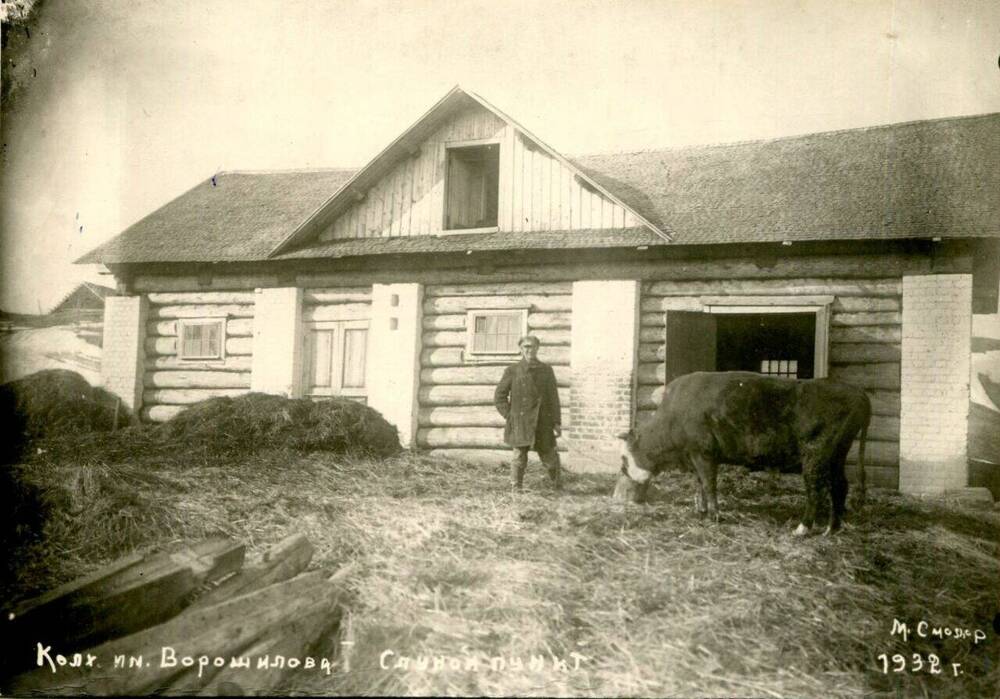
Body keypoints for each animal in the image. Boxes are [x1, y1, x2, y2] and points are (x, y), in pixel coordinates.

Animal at [604, 372, 872, 536]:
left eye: (623, 461)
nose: (616, 496)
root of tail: (858, 392)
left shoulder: (704, 452)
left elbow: (709, 484)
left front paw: (714, 515)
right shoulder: (695, 454)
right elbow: (699, 484)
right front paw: (700, 511)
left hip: (815, 454)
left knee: (816, 490)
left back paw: (802, 529)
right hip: (837, 454)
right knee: (840, 486)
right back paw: (831, 529)